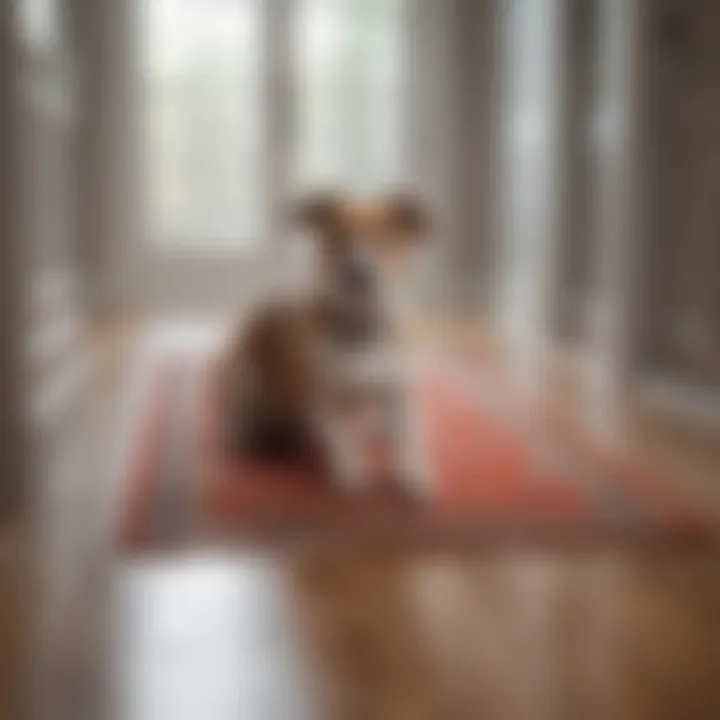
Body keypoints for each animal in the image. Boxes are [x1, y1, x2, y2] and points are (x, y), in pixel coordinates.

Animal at [219, 190, 430, 496]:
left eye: (385, 238)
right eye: (338, 236)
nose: (359, 274)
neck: (361, 327)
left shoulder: (398, 391)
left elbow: (408, 436)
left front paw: (413, 471)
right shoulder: (322, 396)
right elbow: (338, 436)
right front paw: (351, 470)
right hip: (243, 375)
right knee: (241, 413)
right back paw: (247, 434)